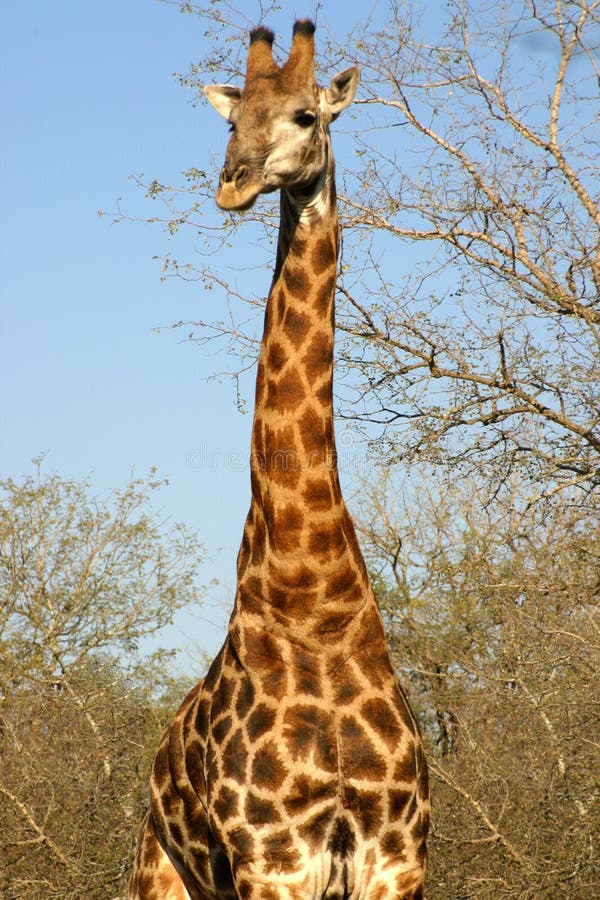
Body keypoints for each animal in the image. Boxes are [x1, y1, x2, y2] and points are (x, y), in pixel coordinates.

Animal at [130, 19, 432, 900]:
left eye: (305, 114)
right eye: (233, 121)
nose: (232, 184)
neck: (316, 605)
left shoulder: (397, 856)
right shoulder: (273, 856)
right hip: (163, 873)